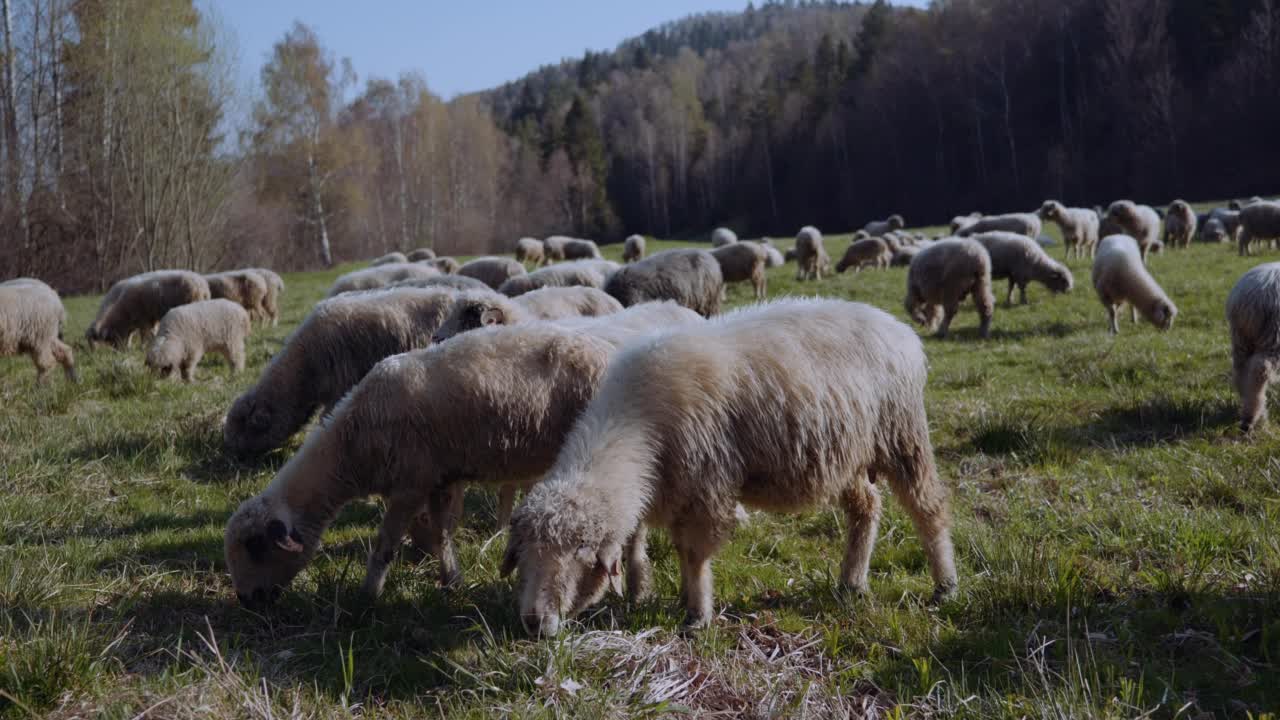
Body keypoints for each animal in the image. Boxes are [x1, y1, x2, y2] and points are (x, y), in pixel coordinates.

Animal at [504, 297, 957, 632]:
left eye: (580, 554)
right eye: (523, 553)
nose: (534, 623)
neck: (633, 424)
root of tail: (898, 328)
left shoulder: (706, 485)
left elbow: (694, 553)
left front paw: (696, 615)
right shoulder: (676, 488)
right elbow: (669, 545)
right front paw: (679, 598)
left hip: (902, 435)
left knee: (928, 509)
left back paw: (944, 586)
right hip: (845, 453)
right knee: (865, 508)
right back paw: (852, 581)